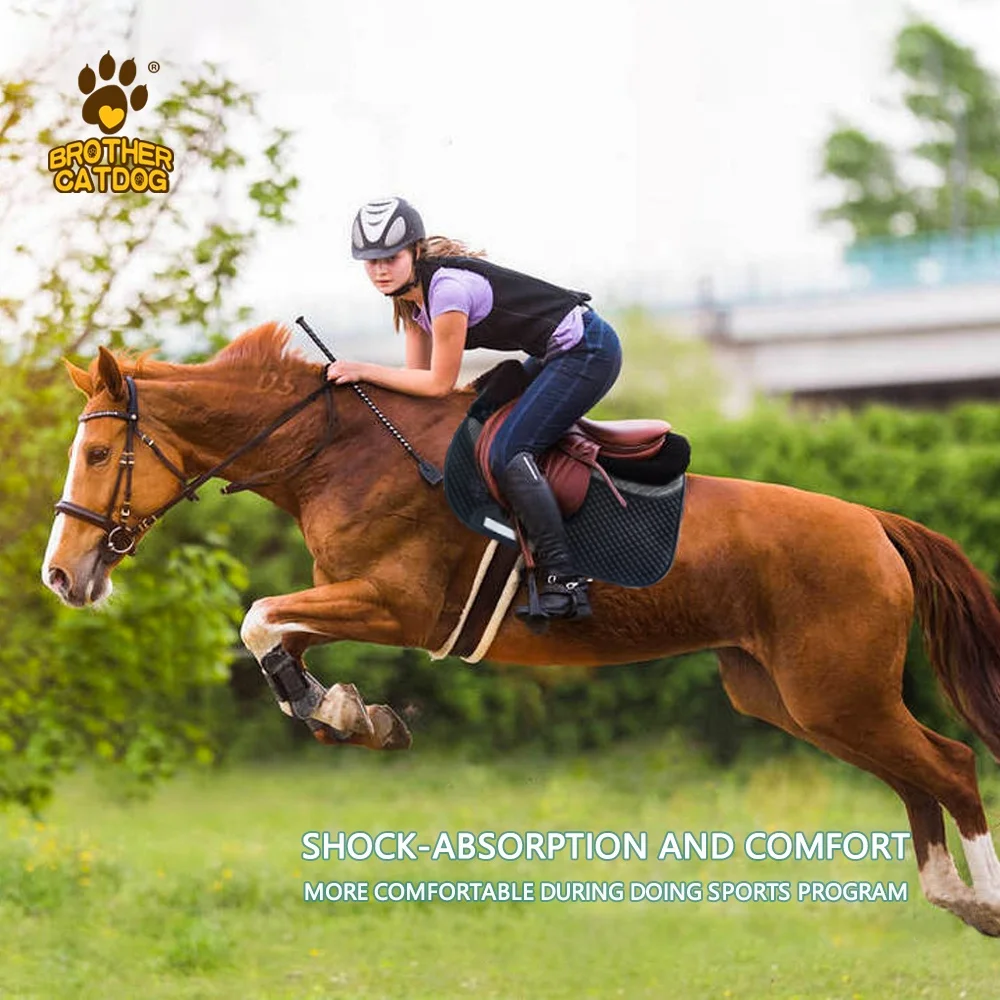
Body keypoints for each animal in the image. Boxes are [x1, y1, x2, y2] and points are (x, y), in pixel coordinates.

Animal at [40, 321, 1000, 937]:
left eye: (96, 453)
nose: (62, 574)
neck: (334, 451)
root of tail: (874, 522)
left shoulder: (395, 605)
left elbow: (256, 618)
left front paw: (344, 713)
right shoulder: (350, 600)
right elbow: (276, 638)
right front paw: (350, 714)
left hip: (835, 693)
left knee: (950, 764)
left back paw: (981, 901)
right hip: (796, 700)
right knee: (914, 777)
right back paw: (954, 898)